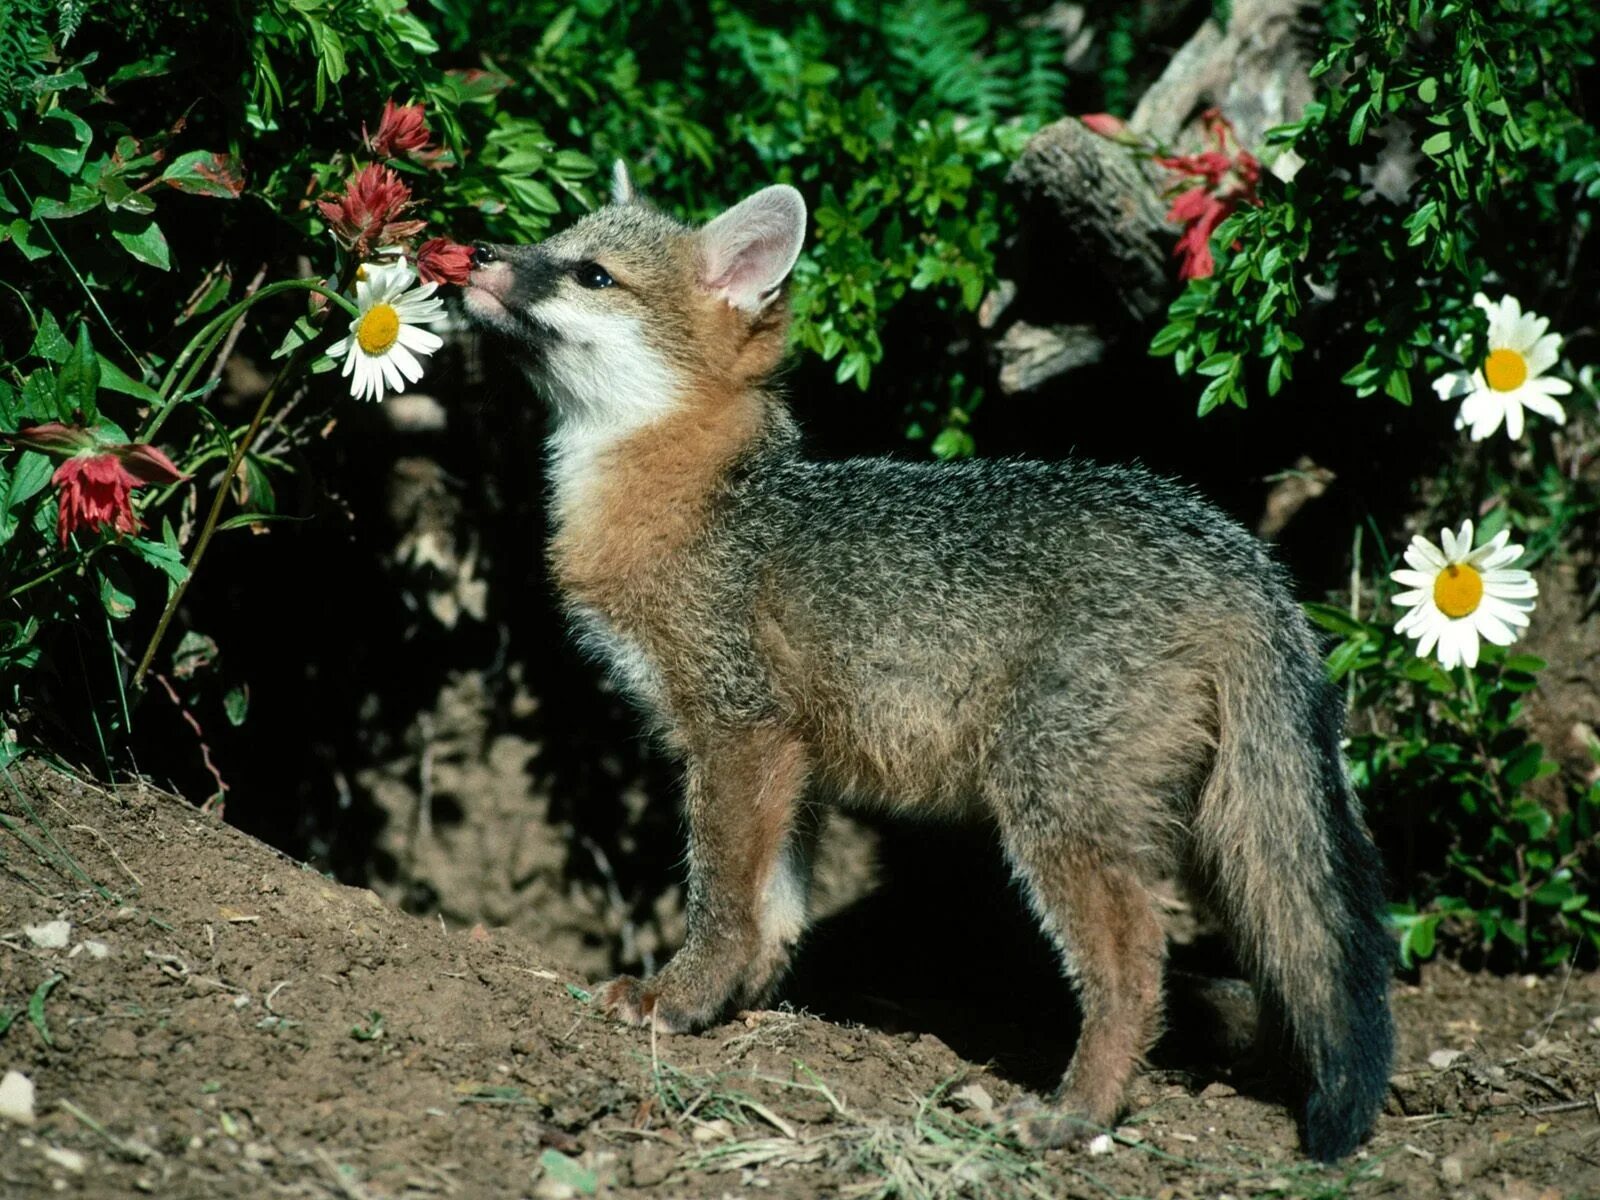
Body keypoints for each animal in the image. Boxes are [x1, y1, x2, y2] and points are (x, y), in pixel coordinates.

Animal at [460, 164, 1388, 1158]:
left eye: (590, 274)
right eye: (550, 239)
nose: (473, 250)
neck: (694, 498)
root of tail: (1235, 553)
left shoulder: (736, 731)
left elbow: (723, 897)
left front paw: (680, 998)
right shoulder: (792, 757)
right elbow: (777, 911)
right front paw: (745, 1006)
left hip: (1055, 807)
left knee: (1139, 968)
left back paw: (1075, 1113)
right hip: (1216, 830)